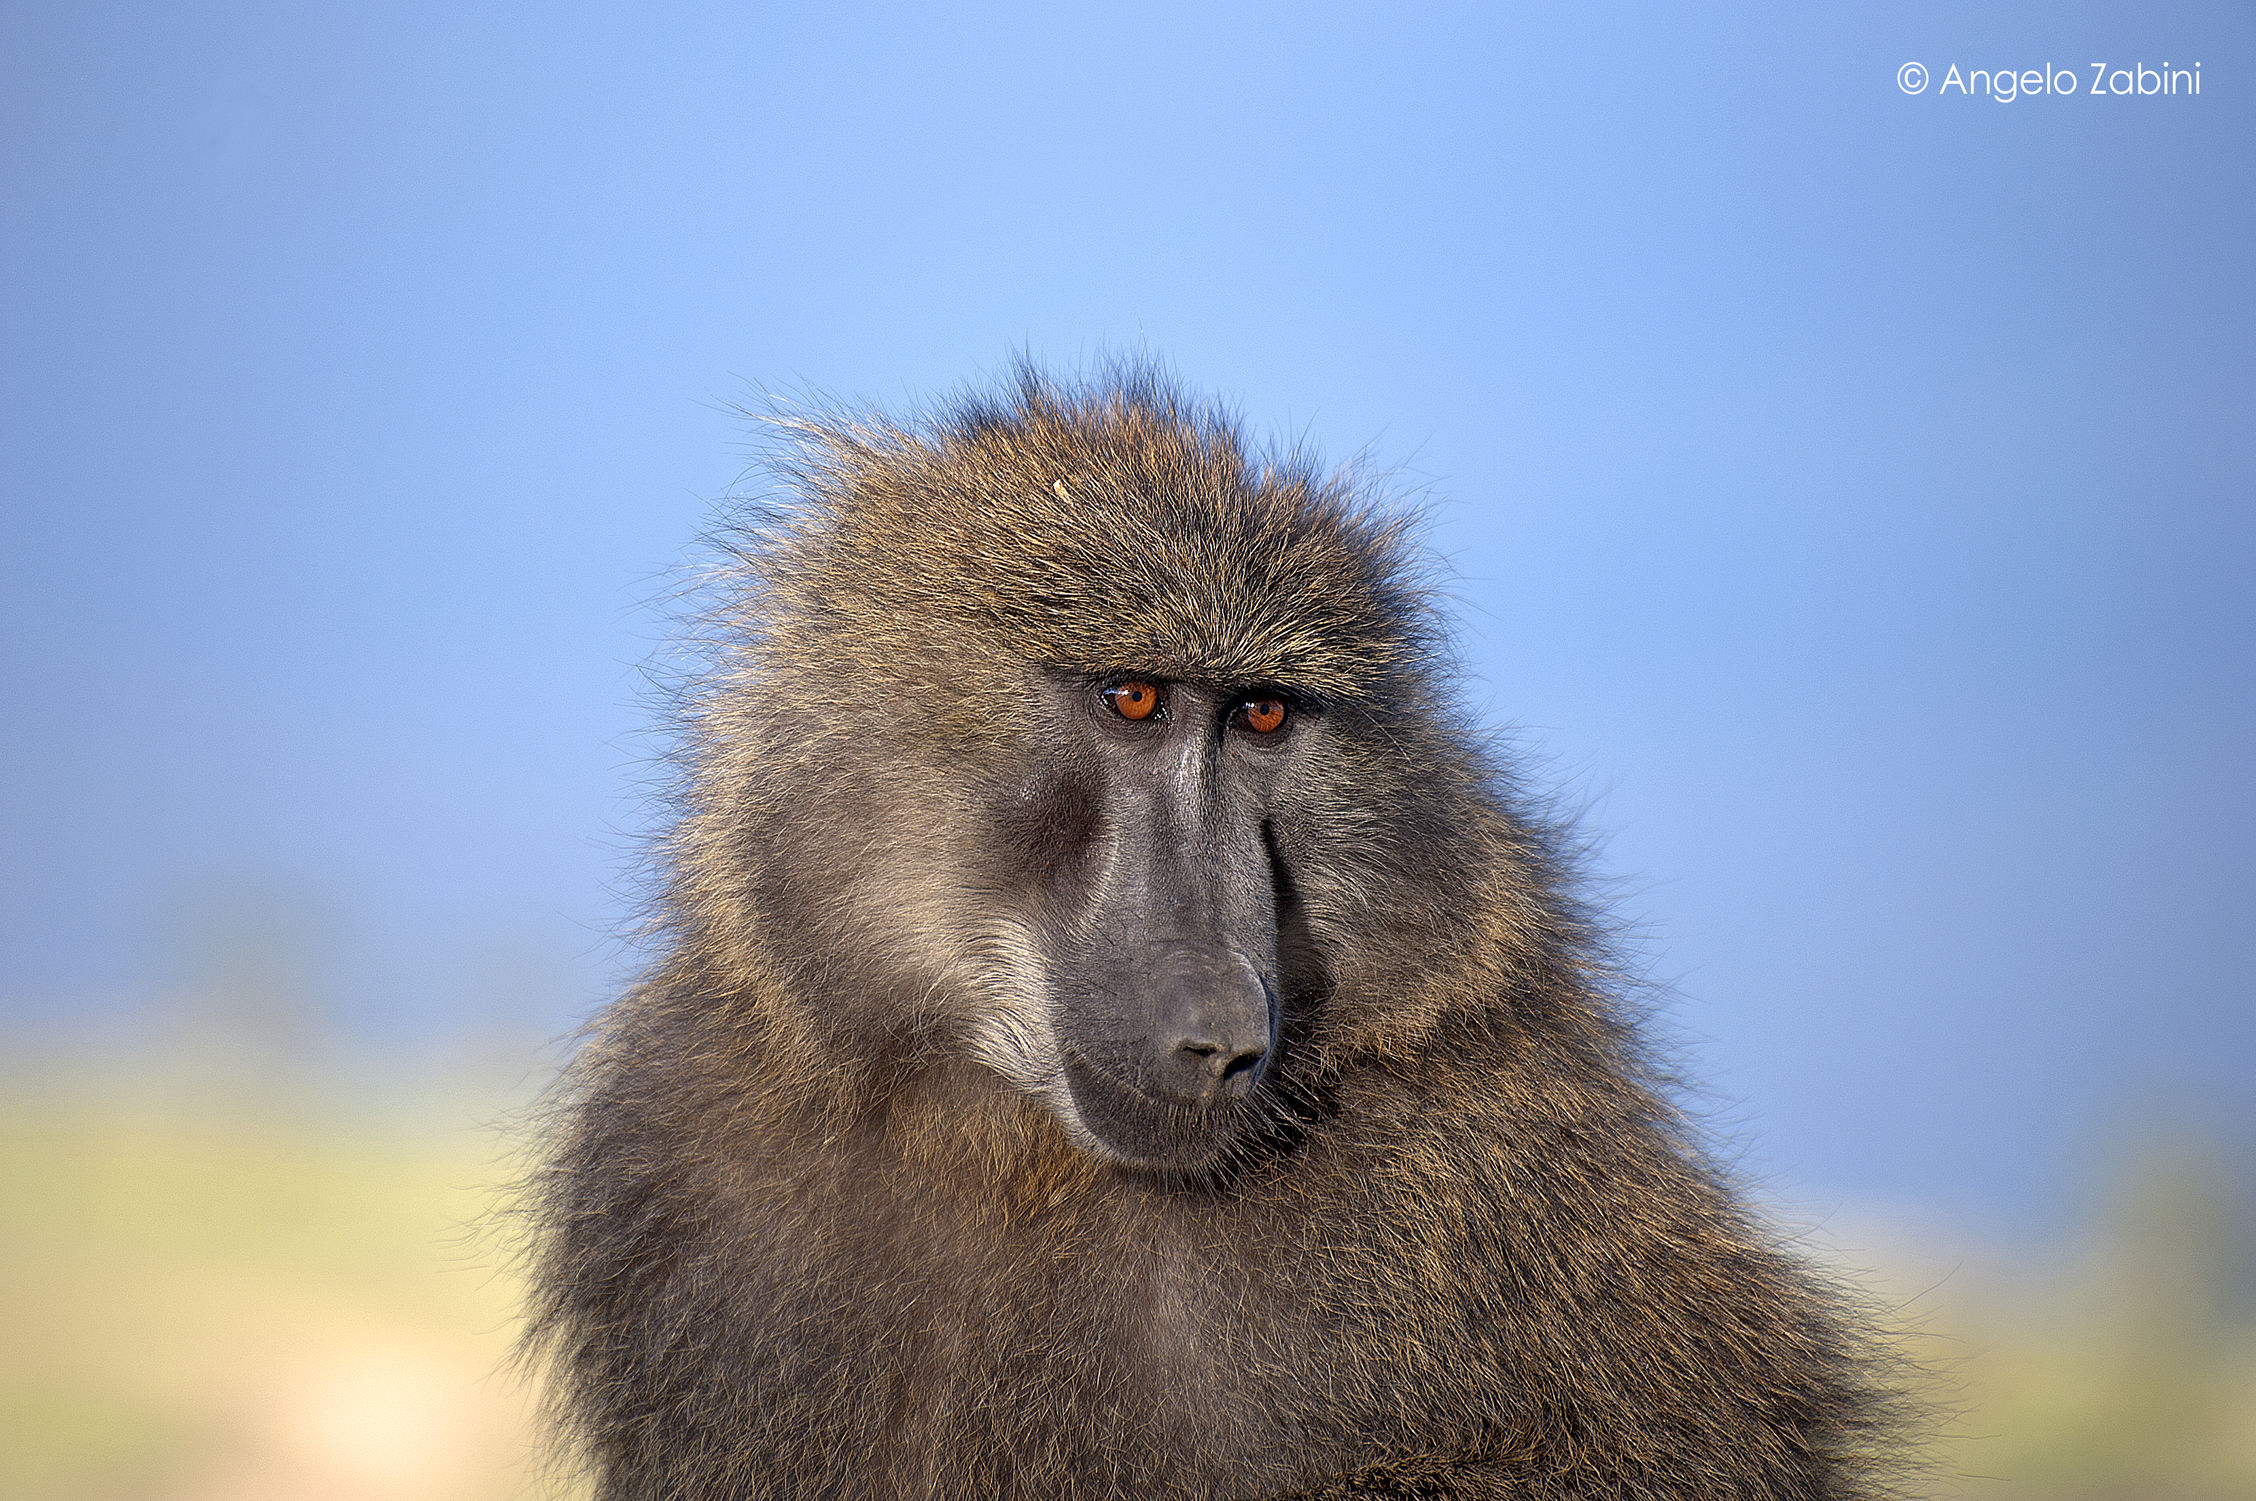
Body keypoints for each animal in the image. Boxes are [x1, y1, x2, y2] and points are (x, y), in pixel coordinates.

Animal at [525, 364, 1897, 1499]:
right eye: (1133, 698)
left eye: (1263, 717)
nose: (1223, 1031)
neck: (1015, 1152)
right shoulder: (676, 1153)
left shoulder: (1485, 1164)